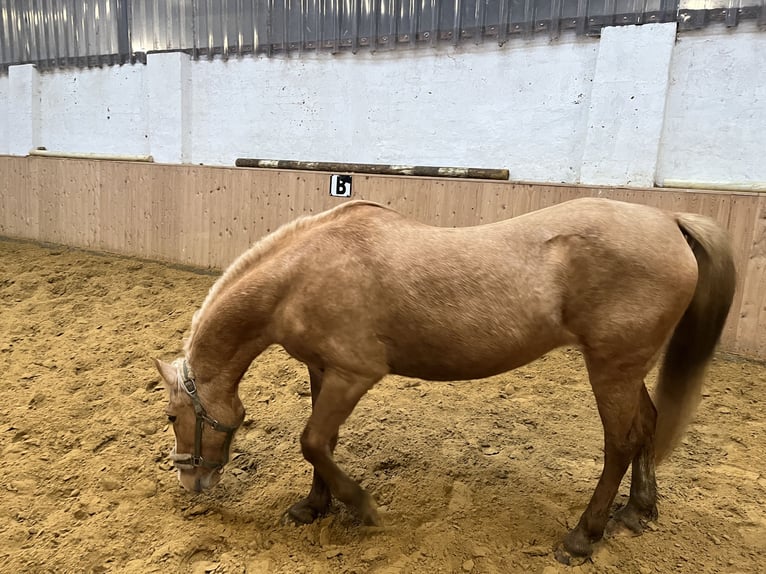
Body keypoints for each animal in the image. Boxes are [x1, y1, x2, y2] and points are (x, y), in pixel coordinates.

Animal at [153, 196, 736, 564]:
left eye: (172, 414)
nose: (191, 482)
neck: (300, 275)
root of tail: (669, 221)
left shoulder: (354, 375)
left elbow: (313, 441)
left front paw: (362, 506)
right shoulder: (322, 371)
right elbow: (323, 443)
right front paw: (313, 507)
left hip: (611, 367)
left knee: (620, 442)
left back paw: (581, 537)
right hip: (628, 367)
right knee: (648, 425)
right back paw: (638, 511)